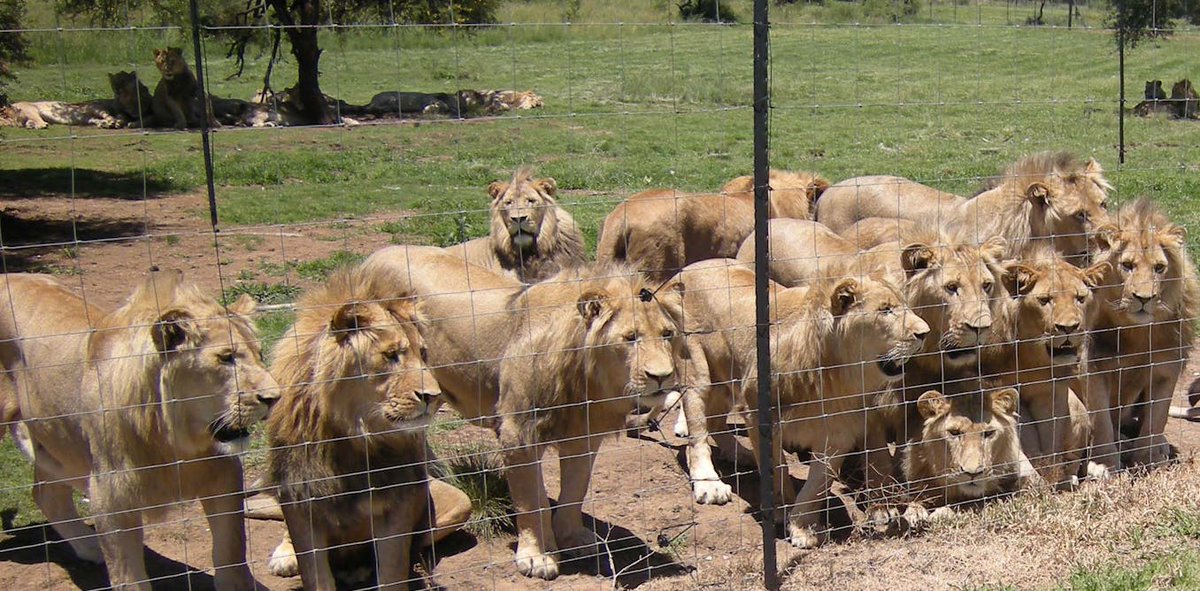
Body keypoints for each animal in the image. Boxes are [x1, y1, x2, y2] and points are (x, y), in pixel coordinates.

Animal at [0, 270, 278, 591]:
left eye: (259, 354)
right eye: (225, 357)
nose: (275, 397)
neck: (173, 440)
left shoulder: (223, 475)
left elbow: (231, 551)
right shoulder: (111, 496)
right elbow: (128, 575)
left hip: (58, 446)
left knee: (46, 495)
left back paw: (90, 548)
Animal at [262, 267, 468, 590]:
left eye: (423, 354)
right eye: (391, 355)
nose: (435, 397)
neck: (354, 436)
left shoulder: (396, 500)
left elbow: (392, 572)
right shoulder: (300, 495)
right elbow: (316, 574)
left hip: (458, 501)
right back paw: (286, 556)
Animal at [362, 245, 689, 580]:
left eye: (667, 334)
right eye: (630, 337)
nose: (662, 375)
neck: (587, 380)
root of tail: (378, 253)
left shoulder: (583, 433)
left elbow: (576, 490)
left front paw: (573, 538)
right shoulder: (519, 433)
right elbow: (531, 499)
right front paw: (537, 556)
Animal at [1075, 198, 1199, 477]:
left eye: (1159, 268)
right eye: (1127, 265)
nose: (1144, 298)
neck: (1137, 332)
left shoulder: (1166, 366)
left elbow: (1157, 418)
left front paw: (1148, 459)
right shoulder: (1093, 365)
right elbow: (1101, 419)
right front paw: (1104, 464)